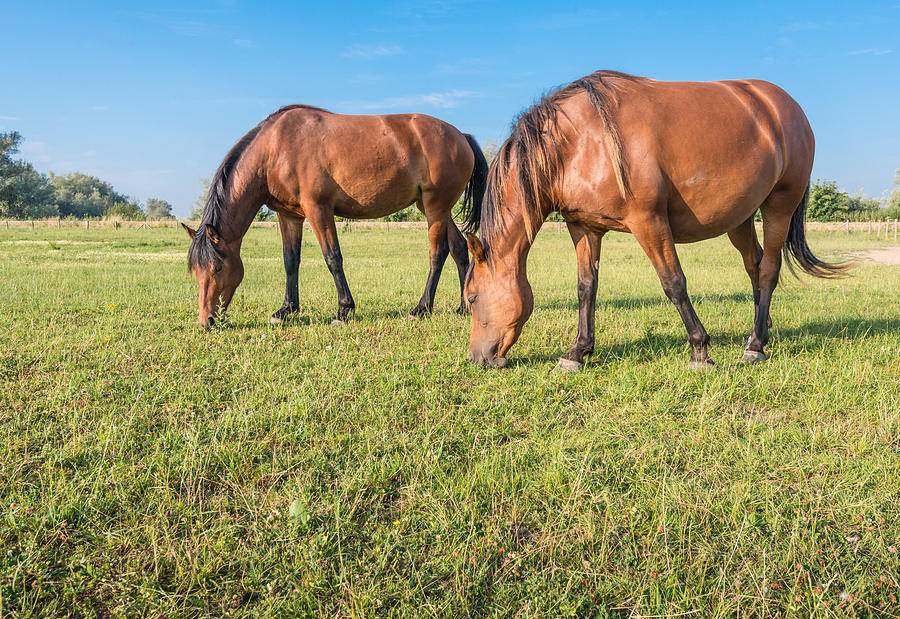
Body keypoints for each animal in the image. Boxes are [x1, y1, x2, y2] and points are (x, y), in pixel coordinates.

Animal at [183, 105, 488, 330]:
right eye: (195, 270)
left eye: (217, 268)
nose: (207, 321)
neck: (276, 148)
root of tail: (460, 135)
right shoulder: (289, 216)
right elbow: (290, 261)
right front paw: (286, 310)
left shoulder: (318, 209)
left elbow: (333, 258)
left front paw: (343, 310)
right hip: (434, 208)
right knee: (459, 248)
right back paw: (463, 306)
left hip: (435, 208)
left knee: (438, 253)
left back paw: (421, 308)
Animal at [460, 72, 848, 372]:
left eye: (473, 298)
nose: (479, 358)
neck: (580, 142)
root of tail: (785, 106)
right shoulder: (585, 228)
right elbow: (586, 288)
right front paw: (577, 352)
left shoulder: (648, 222)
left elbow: (674, 283)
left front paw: (700, 350)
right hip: (739, 218)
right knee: (754, 266)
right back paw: (761, 331)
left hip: (779, 207)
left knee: (768, 270)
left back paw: (754, 347)